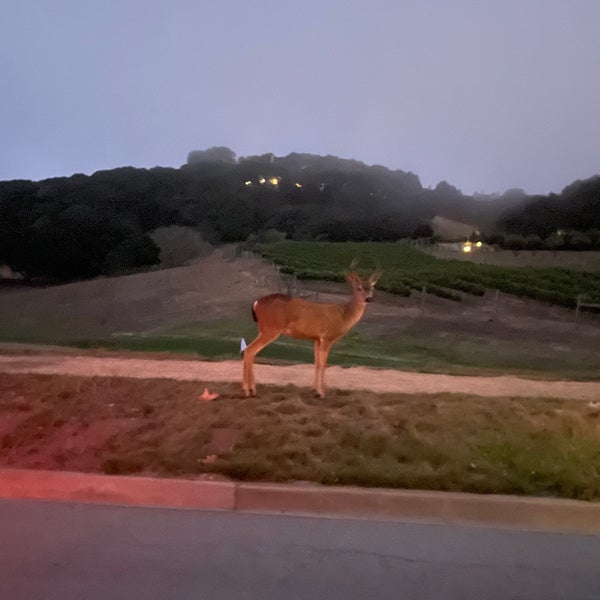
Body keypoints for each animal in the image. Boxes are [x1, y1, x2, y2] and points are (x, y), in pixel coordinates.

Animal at [240, 266, 378, 398]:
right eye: (359, 288)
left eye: (371, 288)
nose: (368, 298)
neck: (343, 315)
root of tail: (256, 303)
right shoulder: (327, 337)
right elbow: (323, 364)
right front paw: (321, 393)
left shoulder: (317, 339)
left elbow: (317, 363)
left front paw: (314, 389)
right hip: (271, 329)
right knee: (250, 350)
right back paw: (247, 390)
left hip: (263, 329)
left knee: (250, 351)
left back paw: (252, 390)